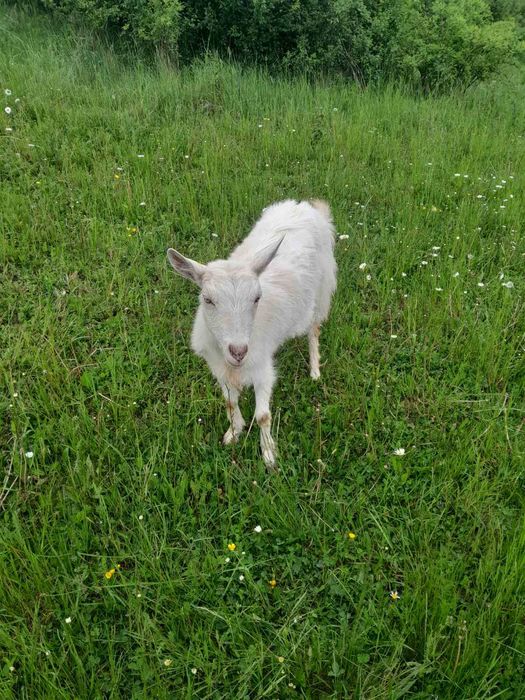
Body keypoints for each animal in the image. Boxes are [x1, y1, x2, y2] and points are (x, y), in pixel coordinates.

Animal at [167, 199, 337, 467]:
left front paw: (269, 455)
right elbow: (230, 402)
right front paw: (233, 433)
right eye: (207, 299)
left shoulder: (262, 368)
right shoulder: (218, 367)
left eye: (257, 298)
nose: (238, 351)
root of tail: (305, 207)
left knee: (314, 330)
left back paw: (315, 370)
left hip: (322, 290)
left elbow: (263, 416)